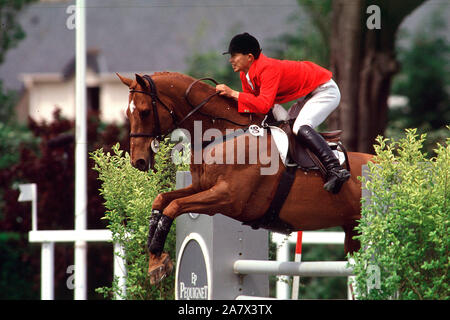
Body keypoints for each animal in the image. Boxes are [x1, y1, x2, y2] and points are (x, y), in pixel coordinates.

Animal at [116, 71, 372, 284]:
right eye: (128, 113)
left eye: (144, 112)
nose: (138, 161)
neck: (222, 135)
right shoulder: (202, 187)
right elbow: (162, 200)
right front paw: (156, 262)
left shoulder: (227, 198)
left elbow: (174, 206)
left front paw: (157, 261)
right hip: (352, 232)